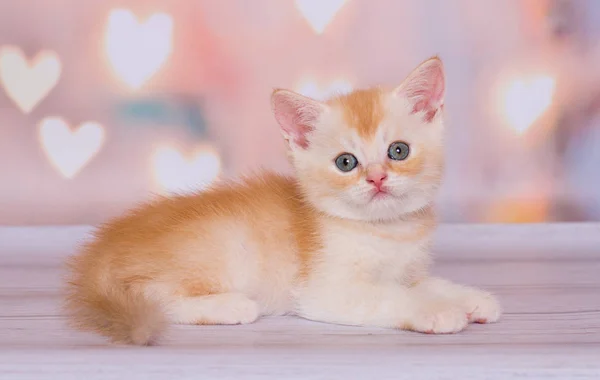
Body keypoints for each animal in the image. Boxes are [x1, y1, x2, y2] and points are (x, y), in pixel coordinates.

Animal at [63, 56, 502, 344]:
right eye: (346, 162)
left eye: (398, 151)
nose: (377, 178)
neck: (387, 231)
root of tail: (99, 252)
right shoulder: (326, 291)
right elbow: (392, 296)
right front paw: (435, 311)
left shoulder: (407, 270)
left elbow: (427, 283)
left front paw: (473, 299)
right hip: (221, 250)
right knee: (151, 294)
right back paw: (229, 306)